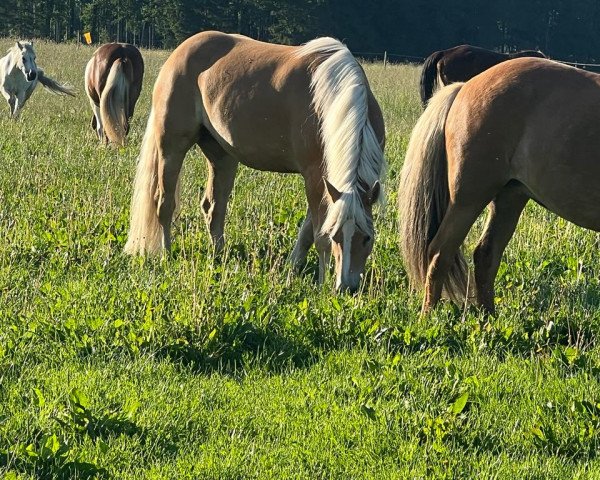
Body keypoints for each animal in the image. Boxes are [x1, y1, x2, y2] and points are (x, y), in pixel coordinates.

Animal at [125, 31, 386, 292]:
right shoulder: (314, 176)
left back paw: (219, 255)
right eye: (336, 235)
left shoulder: (326, 184)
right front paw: (321, 284)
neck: (331, 100)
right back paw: (166, 254)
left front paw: (293, 267)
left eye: (367, 237)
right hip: (171, 147)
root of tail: (180, 51)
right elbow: (318, 233)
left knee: (214, 206)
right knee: (164, 203)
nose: (348, 287)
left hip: (222, 155)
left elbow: (307, 231)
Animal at [398, 57, 600, 316]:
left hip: (509, 197)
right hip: (468, 199)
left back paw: (488, 318)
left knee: (485, 255)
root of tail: (465, 86)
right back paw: (428, 317)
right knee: (440, 253)